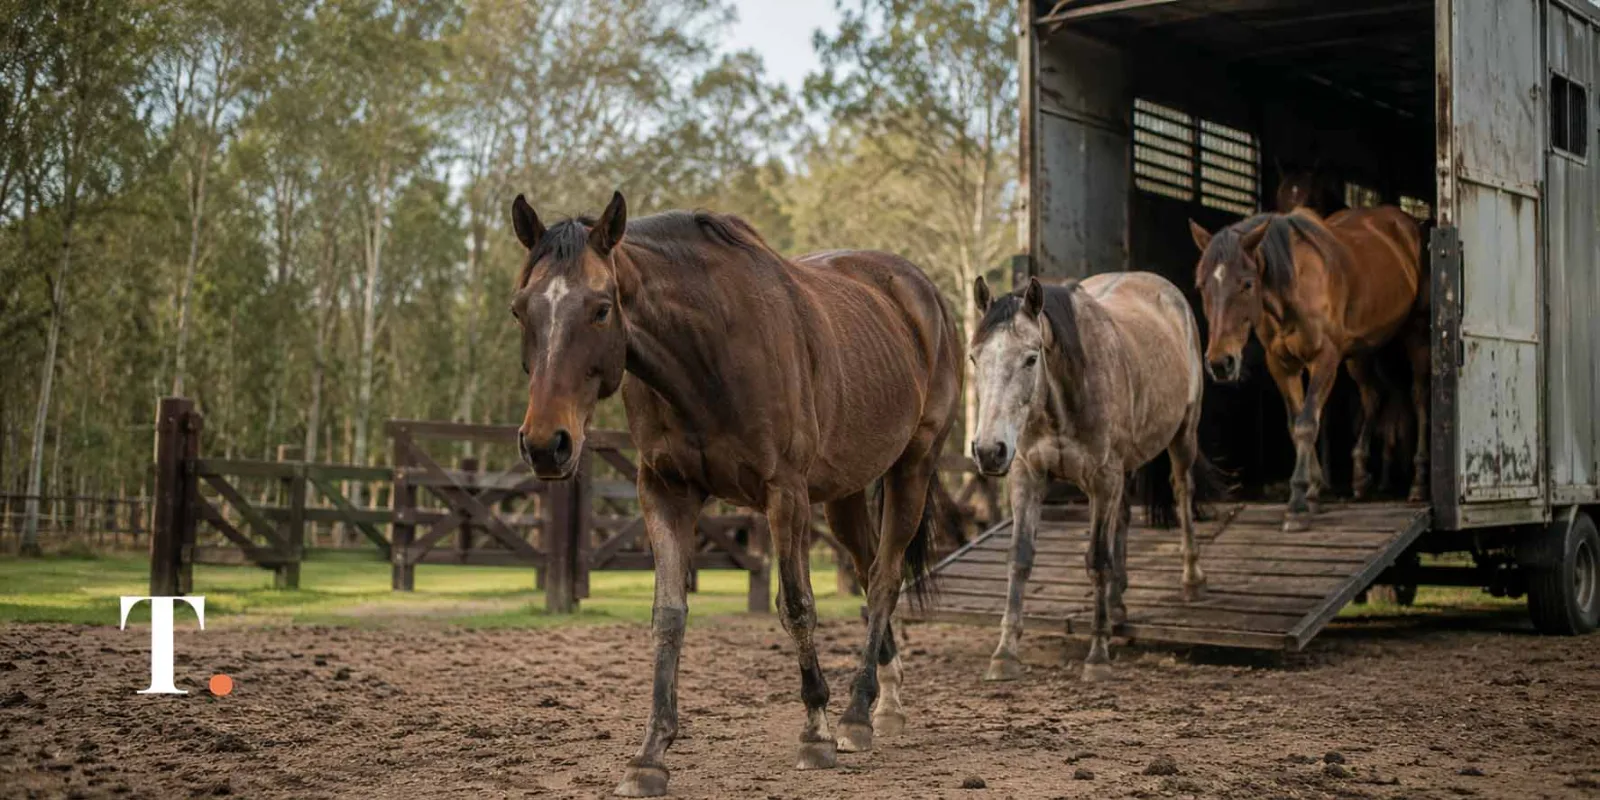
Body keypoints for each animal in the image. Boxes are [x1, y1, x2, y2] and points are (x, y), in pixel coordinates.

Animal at [507, 191, 961, 797]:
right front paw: (650, 754)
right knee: (869, 575)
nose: (545, 445)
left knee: (886, 578)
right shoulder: (665, 492)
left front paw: (815, 733)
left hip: (913, 467)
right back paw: (882, 703)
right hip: (844, 494)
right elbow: (668, 617)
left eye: (602, 308)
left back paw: (854, 717)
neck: (708, 350)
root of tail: (920, 293)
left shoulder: (784, 494)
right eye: (520, 310)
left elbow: (797, 606)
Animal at [968, 273, 1212, 682]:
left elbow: (1097, 560)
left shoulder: (1102, 480)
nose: (988, 450)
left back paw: (1192, 580)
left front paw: (1097, 655)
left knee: (1182, 491)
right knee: (1123, 518)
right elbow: (1020, 558)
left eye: (1031, 358)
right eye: (974, 358)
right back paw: (1116, 604)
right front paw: (1005, 653)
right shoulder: (1027, 476)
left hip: (1184, 436)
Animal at [1189, 207, 1427, 531]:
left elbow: (1306, 424)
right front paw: (1313, 492)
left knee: (1418, 398)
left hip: (1415, 334)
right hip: (1361, 352)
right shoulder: (1282, 364)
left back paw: (1417, 483)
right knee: (1374, 396)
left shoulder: (1324, 357)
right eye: (1202, 286)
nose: (1219, 362)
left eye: (1247, 283)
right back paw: (1361, 477)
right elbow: (1296, 424)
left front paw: (1298, 504)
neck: (1293, 286)